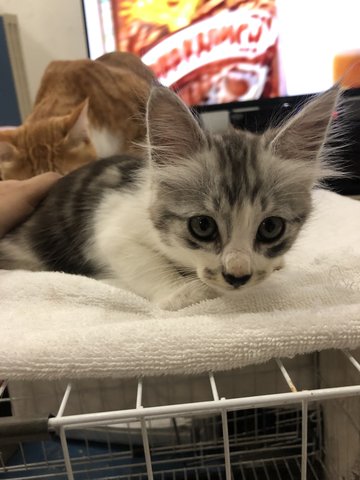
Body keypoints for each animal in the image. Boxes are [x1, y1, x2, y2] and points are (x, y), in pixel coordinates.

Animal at [0, 87, 338, 310]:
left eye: (271, 228)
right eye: (202, 226)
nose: (237, 276)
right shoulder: (112, 225)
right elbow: (140, 261)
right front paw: (183, 292)